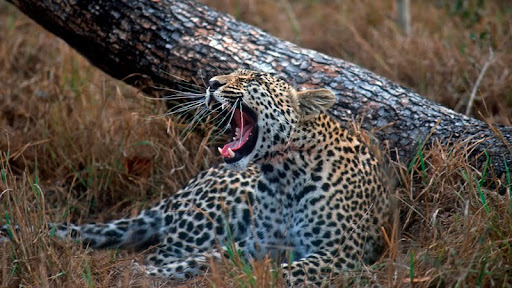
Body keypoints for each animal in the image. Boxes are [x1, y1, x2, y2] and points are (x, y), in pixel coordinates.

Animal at [10, 69, 392, 286]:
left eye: (252, 80)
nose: (211, 83)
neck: (284, 175)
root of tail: (179, 193)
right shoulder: (256, 244)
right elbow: (206, 260)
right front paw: (143, 276)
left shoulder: (339, 256)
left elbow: (280, 273)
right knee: (164, 250)